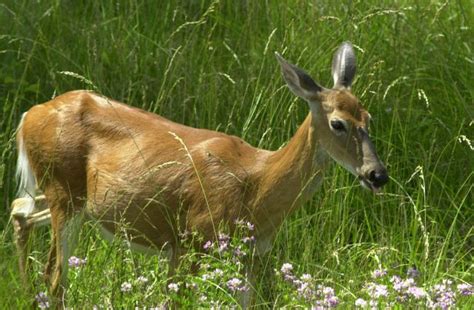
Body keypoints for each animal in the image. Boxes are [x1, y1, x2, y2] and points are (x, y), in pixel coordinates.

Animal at [12, 42, 388, 306]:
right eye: (338, 123)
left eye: (368, 118)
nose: (377, 174)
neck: (258, 185)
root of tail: (29, 115)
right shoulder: (190, 238)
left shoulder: (255, 251)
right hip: (65, 192)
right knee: (55, 274)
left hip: (62, 195)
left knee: (20, 213)